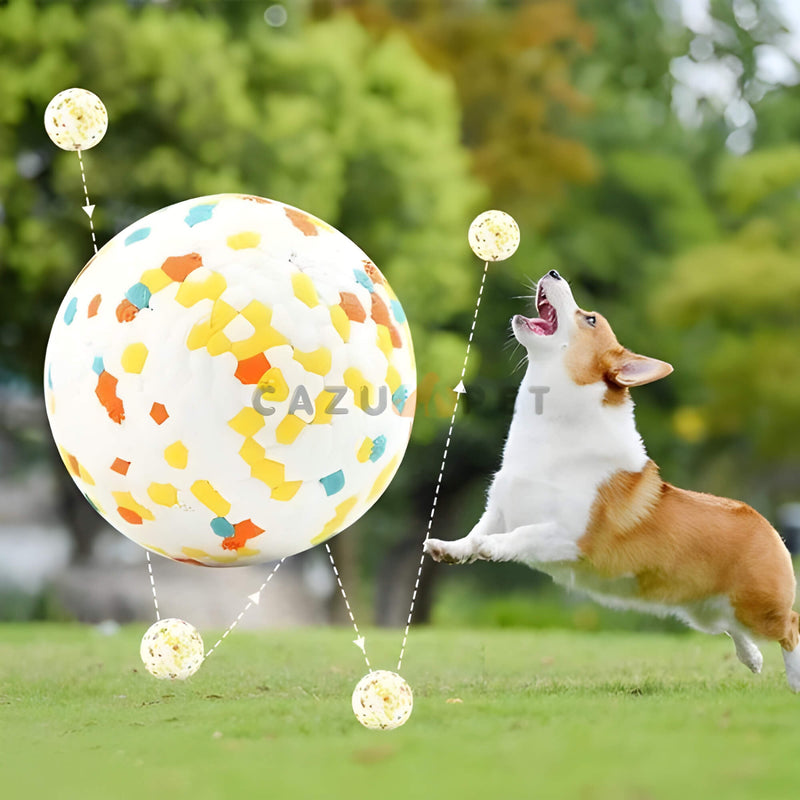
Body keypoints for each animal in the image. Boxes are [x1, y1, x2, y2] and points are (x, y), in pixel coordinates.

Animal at [424, 272, 800, 692]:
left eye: (590, 319)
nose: (554, 274)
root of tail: (767, 524)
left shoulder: (570, 535)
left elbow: (517, 535)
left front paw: (494, 547)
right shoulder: (500, 508)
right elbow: (475, 532)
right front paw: (450, 548)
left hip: (759, 607)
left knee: (791, 627)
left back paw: (794, 677)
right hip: (706, 611)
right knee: (735, 629)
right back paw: (752, 659)